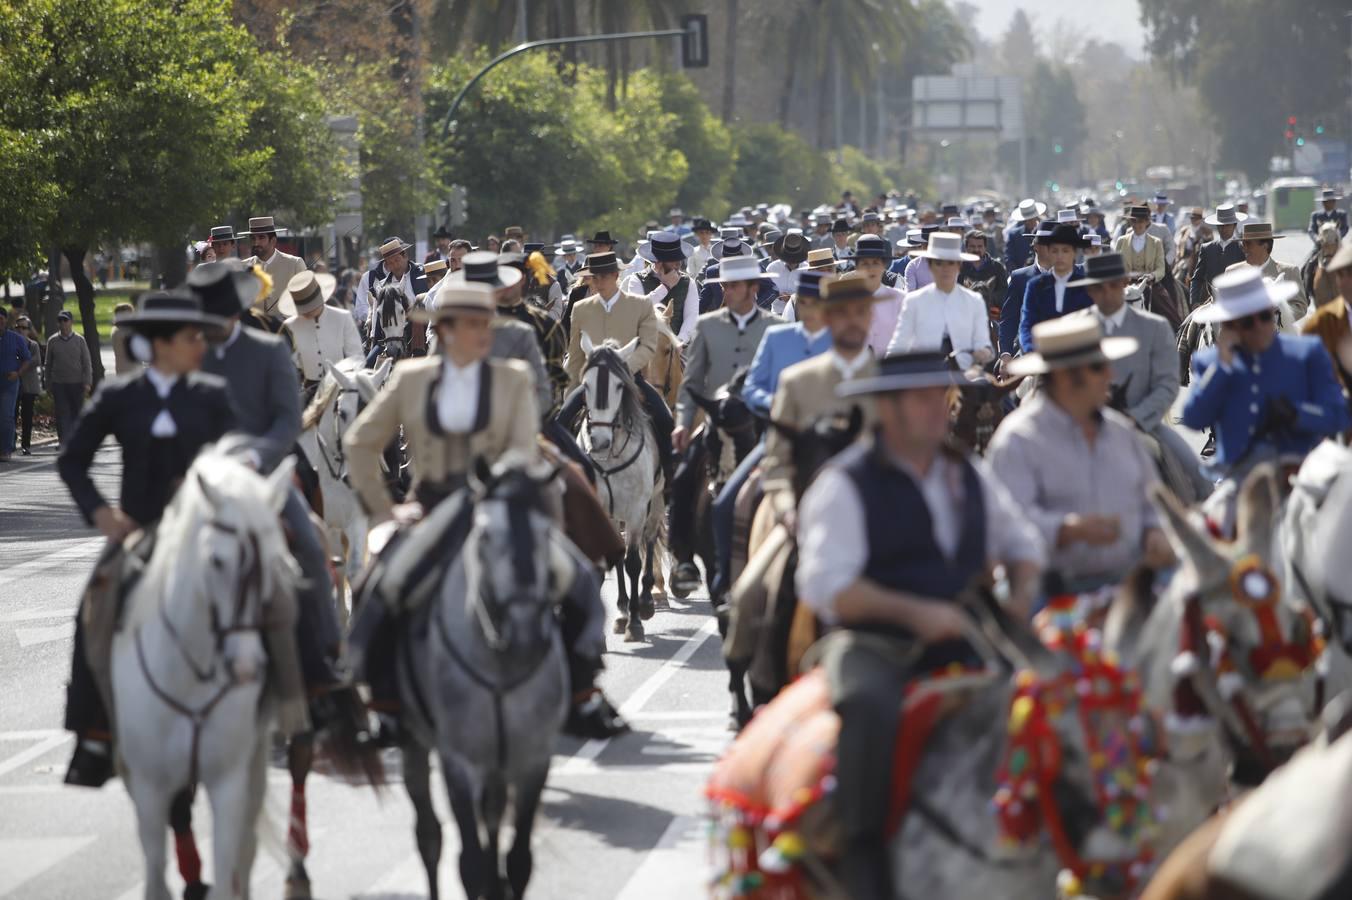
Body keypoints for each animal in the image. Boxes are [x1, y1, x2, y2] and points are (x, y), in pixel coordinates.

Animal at [112, 448, 298, 897]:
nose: (246, 666)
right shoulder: (148, 782)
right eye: (216, 560)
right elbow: (157, 865)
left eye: (277, 561)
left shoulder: (230, 778)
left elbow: (230, 859)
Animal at [300, 354, 392, 621]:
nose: (354, 477)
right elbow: (336, 567)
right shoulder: (326, 523)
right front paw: (340, 616)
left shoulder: (356, 520)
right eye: (341, 412)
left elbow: (354, 570)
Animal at [397, 456, 573, 897]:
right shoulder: (457, 763)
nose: (526, 629)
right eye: (484, 534)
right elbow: (469, 862)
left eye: (547, 531)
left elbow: (520, 859)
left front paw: (504, 880)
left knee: (491, 813)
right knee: (429, 834)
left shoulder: (533, 757)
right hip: (415, 743)